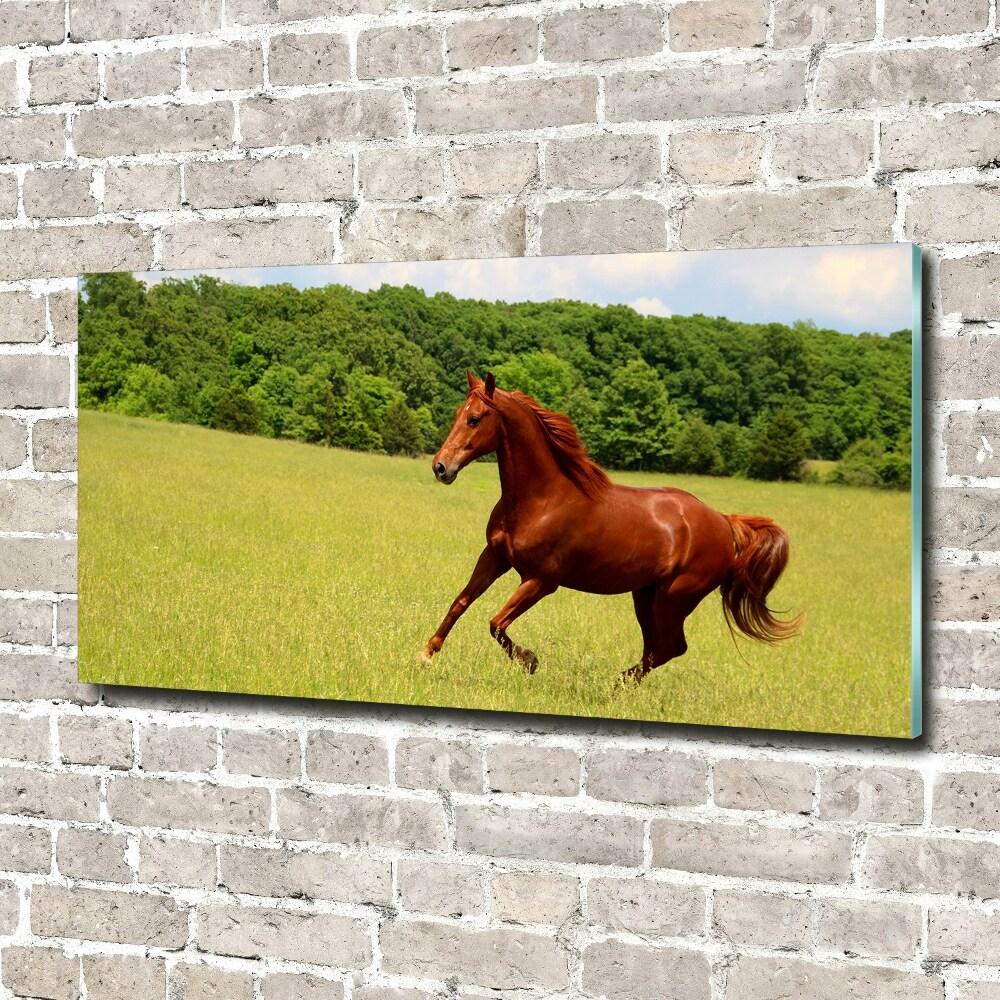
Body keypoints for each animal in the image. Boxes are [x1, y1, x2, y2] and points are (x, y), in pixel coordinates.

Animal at [418, 372, 800, 684]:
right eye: (458, 414)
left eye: (474, 418)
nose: (440, 467)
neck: (543, 499)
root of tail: (724, 521)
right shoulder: (495, 557)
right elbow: (461, 602)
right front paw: (426, 655)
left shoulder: (541, 581)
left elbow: (496, 623)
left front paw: (530, 660)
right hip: (645, 596)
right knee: (657, 648)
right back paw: (620, 685)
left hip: (675, 599)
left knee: (671, 647)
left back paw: (616, 684)